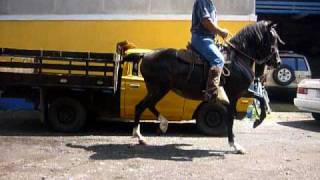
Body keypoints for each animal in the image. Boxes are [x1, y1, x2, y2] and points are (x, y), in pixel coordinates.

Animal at [126, 20, 284, 153]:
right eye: (273, 39)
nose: (278, 62)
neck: (238, 59)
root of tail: (145, 55)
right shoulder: (233, 96)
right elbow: (231, 119)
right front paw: (235, 145)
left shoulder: (242, 92)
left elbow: (261, 99)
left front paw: (257, 121)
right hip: (158, 89)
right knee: (140, 106)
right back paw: (139, 135)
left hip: (158, 89)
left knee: (147, 105)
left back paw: (160, 125)